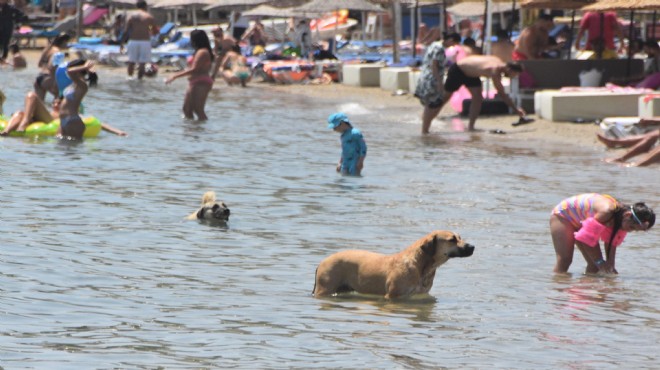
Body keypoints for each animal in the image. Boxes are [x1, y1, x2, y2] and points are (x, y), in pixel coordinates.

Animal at [314, 230, 474, 300]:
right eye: (452, 240)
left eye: (460, 237)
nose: (472, 246)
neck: (420, 265)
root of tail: (322, 261)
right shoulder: (393, 296)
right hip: (325, 288)